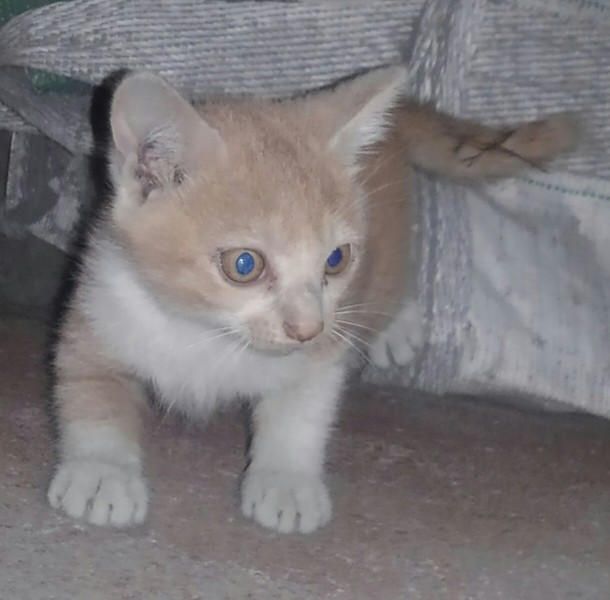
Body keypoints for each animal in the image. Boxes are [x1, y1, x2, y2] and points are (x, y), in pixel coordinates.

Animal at [47, 66, 578, 533]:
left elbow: (302, 408)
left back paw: (397, 327)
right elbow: (91, 391)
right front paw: (102, 472)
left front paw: (287, 481)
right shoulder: (100, 303)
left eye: (336, 259)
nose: (306, 328)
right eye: (245, 264)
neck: (204, 332)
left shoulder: (324, 347)